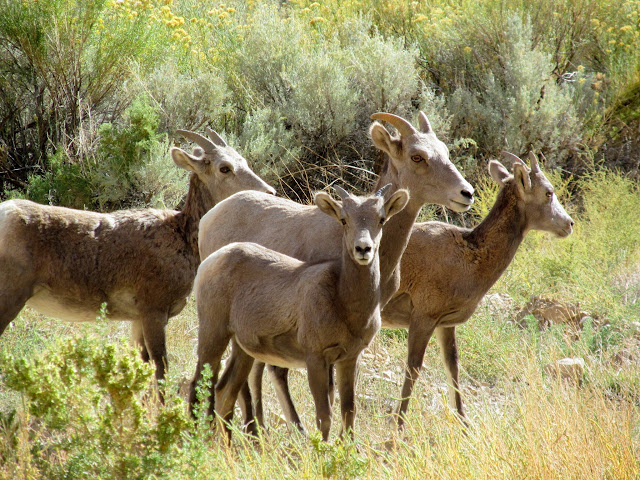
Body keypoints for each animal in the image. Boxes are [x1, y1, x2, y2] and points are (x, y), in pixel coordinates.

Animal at [0, 128, 272, 382]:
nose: (270, 192)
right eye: (224, 168)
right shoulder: (153, 309)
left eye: (244, 160)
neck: (182, 239)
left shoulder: (136, 318)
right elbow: (161, 369)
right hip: (11, 295)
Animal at [191, 186, 410, 440]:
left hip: (243, 349)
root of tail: (212, 260)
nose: (363, 249)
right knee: (198, 384)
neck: (344, 302)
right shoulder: (315, 358)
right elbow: (324, 416)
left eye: (381, 219)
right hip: (213, 333)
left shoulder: (349, 359)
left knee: (225, 391)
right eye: (344, 220)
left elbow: (348, 413)